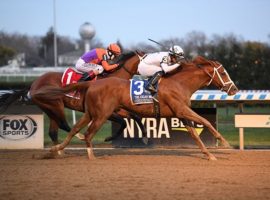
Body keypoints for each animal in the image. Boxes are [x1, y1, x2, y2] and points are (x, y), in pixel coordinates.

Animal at [0, 51, 146, 145]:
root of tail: (34, 84)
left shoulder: (117, 109)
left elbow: (133, 117)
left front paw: (144, 137)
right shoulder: (105, 112)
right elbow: (123, 121)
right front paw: (108, 138)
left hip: (49, 109)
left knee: (53, 132)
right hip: (55, 105)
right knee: (63, 125)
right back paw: (78, 137)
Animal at [37, 55, 236, 160]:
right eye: (223, 72)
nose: (234, 89)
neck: (179, 82)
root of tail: (91, 84)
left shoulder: (181, 113)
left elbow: (195, 134)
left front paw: (209, 154)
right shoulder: (181, 110)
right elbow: (205, 122)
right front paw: (225, 142)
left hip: (90, 113)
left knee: (73, 130)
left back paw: (56, 149)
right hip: (101, 114)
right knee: (87, 133)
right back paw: (90, 156)